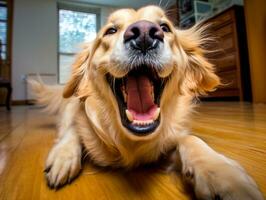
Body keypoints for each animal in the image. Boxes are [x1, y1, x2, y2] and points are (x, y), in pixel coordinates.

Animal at [29, 5, 264, 199]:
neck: (130, 142)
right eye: (110, 31)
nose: (144, 33)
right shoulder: (76, 111)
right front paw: (64, 156)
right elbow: (74, 128)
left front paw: (223, 174)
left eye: (165, 27)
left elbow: (190, 139)